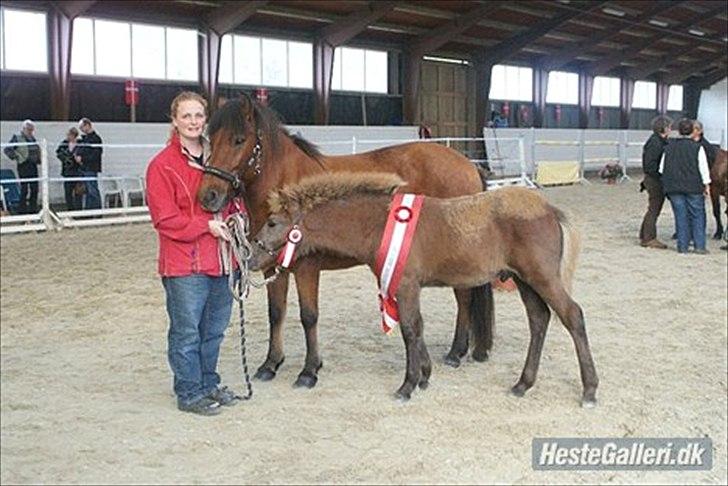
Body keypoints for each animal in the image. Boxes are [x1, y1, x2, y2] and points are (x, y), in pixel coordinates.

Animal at [198, 97, 494, 390]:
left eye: (238, 139)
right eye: (209, 140)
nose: (208, 195)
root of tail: (469, 165)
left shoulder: (306, 267)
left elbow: (309, 316)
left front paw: (309, 370)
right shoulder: (273, 265)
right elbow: (276, 313)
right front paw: (271, 364)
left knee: (464, 298)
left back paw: (456, 352)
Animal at [247, 172, 600, 406]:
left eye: (274, 223)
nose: (250, 257)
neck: (381, 223)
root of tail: (549, 210)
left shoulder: (405, 285)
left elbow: (408, 330)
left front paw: (408, 385)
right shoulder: (405, 286)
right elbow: (416, 326)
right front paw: (426, 375)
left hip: (541, 277)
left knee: (573, 315)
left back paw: (589, 390)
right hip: (525, 281)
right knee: (539, 319)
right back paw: (523, 384)